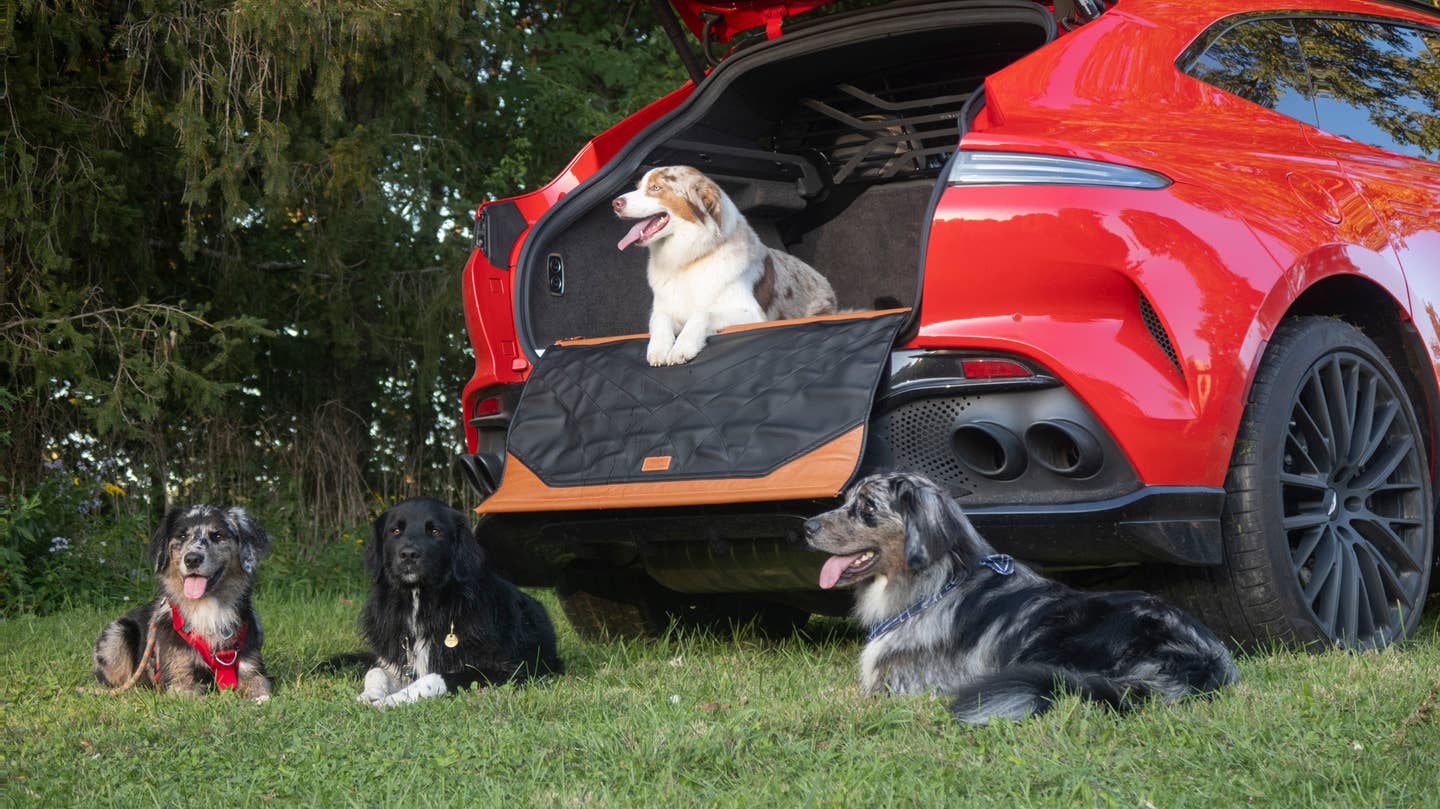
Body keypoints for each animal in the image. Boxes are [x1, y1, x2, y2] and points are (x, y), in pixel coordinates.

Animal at [354, 495, 561, 702]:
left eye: (435, 531)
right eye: (395, 531)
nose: (408, 555)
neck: (423, 604)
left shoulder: (508, 670)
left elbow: (433, 677)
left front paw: (390, 700)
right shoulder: (400, 665)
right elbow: (375, 671)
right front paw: (369, 695)